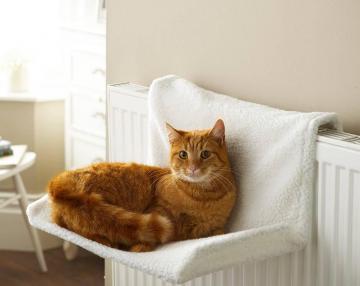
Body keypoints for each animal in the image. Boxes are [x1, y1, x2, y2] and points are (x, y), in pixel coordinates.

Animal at [48, 119, 239, 251]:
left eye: (205, 154)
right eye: (183, 154)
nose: (193, 168)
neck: (202, 196)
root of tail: (59, 182)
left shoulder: (216, 227)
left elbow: (218, 233)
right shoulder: (157, 212)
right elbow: (149, 236)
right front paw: (139, 248)